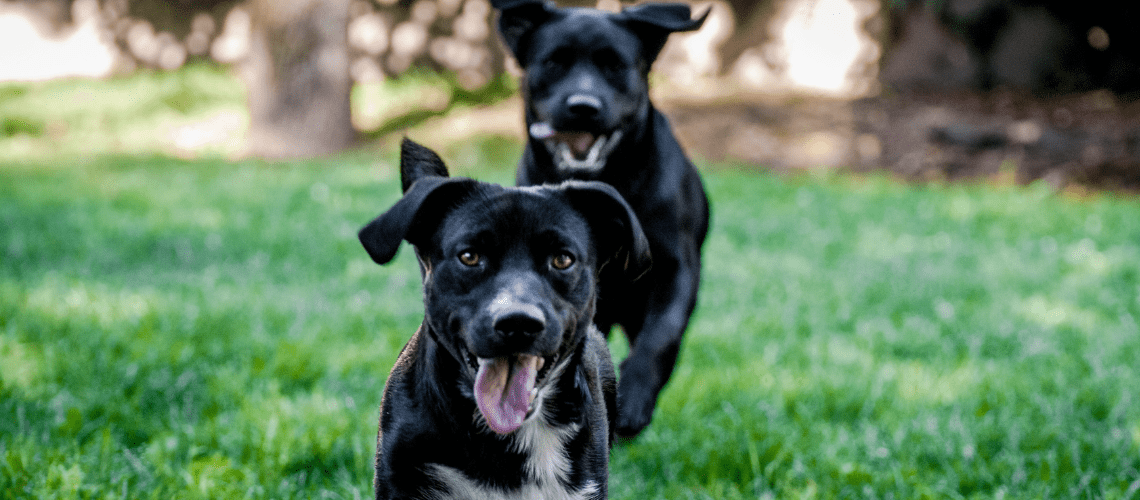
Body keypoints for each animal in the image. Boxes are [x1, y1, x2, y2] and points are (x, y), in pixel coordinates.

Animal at [494, 0, 706, 437]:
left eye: (615, 65)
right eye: (553, 62)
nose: (583, 105)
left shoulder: (676, 267)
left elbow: (661, 337)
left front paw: (635, 400)